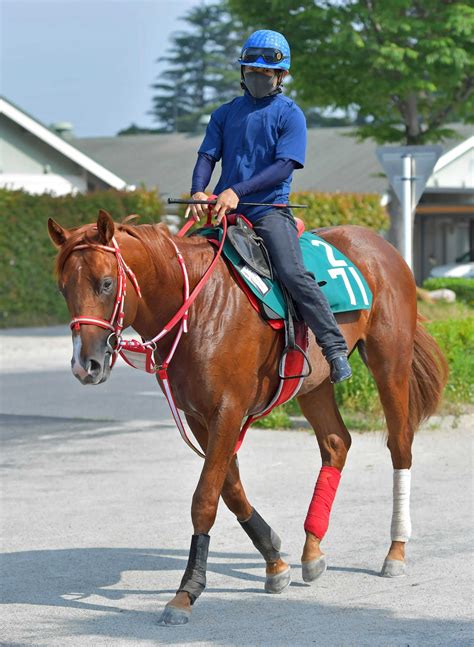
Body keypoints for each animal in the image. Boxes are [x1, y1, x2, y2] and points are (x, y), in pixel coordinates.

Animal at [48, 210, 448, 624]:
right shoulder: (200, 416)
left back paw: (396, 549)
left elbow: (205, 498)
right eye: (63, 288)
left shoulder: (227, 411)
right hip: (314, 383)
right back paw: (312, 548)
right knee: (337, 443)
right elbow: (231, 489)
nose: (85, 365)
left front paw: (186, 591)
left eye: (106, 283)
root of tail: (383, 247)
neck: (199, 306)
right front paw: (275, 560)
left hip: (390, 363)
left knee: (399, 446)